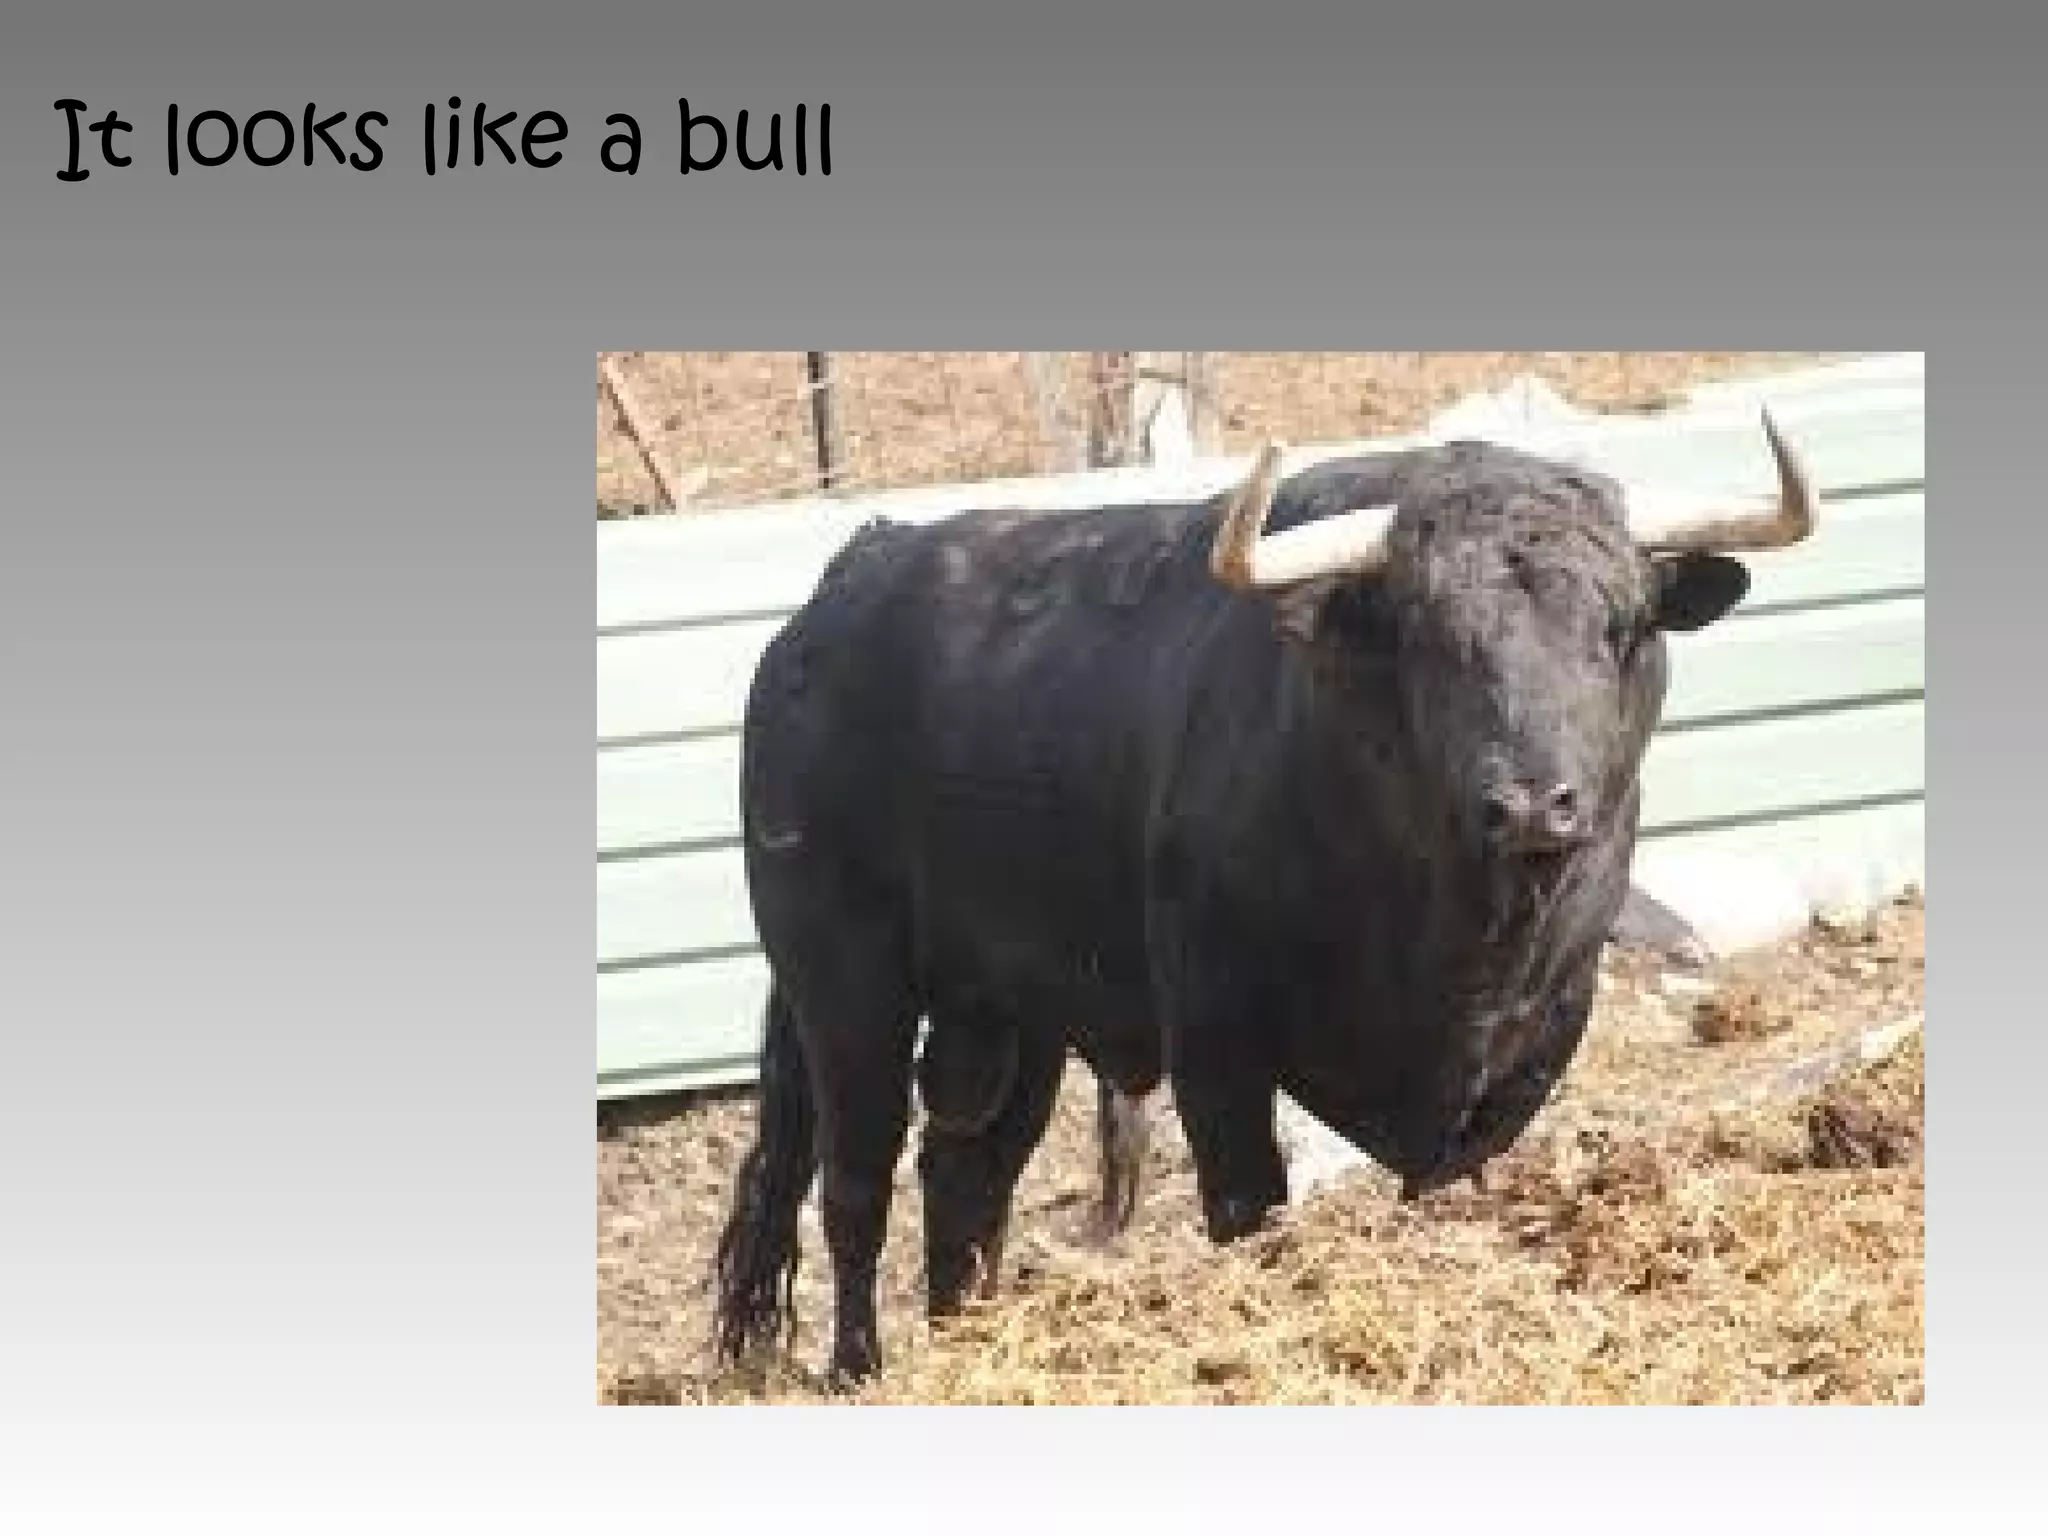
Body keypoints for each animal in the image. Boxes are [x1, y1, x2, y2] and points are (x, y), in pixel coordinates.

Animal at [712, 416, 1819, 1387]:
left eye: (1617, 628)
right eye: (1429, 637)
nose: (1531, 802)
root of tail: (842, 586)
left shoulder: (1531, 1045)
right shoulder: (1215, 1038)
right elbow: (1248, 1203)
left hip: (1004, 1009)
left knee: (965, 1175)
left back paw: (960, 1335)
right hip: (842, 980)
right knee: (856, 1184)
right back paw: (860, 1368)